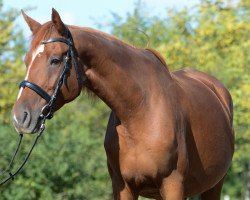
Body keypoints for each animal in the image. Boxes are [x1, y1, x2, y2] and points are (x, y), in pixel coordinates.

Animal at [12, 9, 233, 200]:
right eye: (26, 60)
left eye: (55, 60)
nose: (20, 116)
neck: (140, 113)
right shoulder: (123, 186)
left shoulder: (173, 185)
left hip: (215, 186)